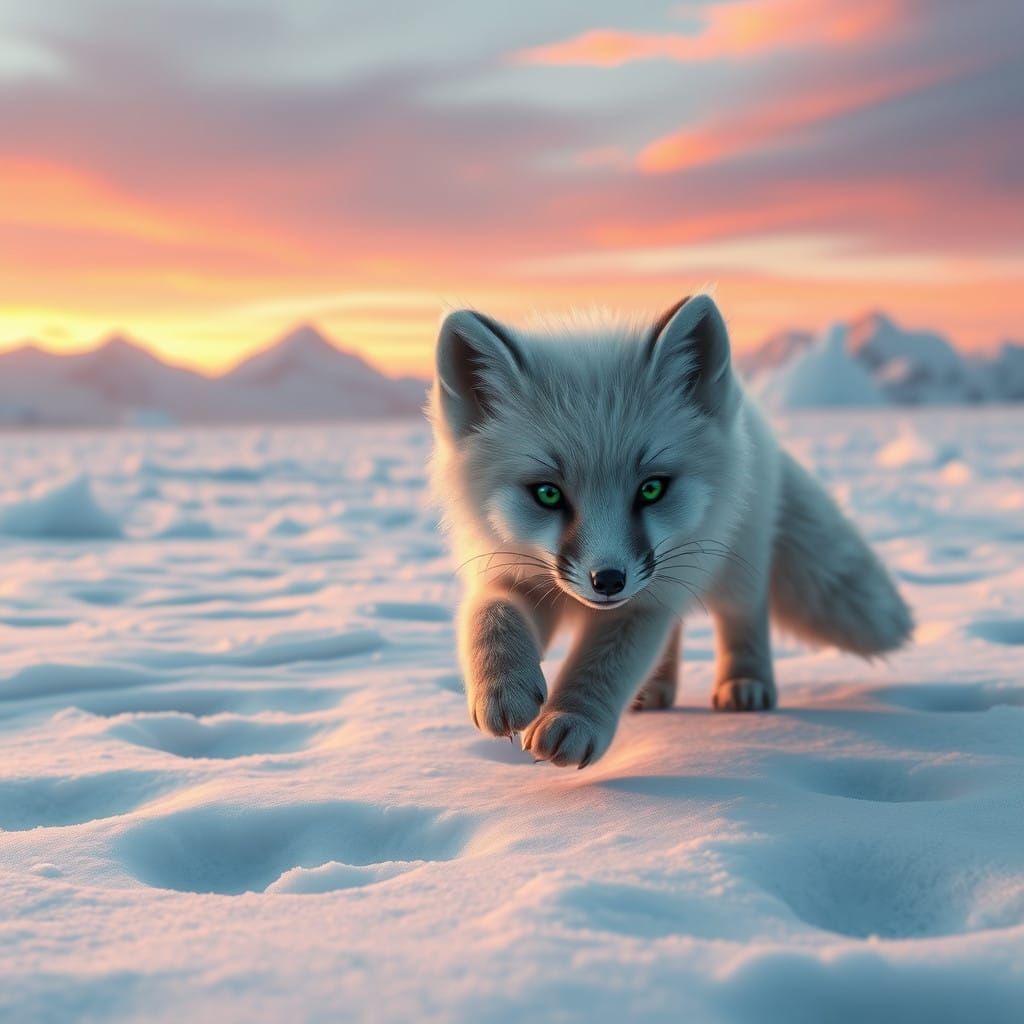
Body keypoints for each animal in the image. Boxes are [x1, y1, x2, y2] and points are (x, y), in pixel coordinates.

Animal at [429, 294, 913, 768]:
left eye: (652, 488)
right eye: (548, 494)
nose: (608, 581)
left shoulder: (646, 600)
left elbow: (603, 664)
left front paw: (572, 719)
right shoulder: (510, 568)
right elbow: (491, 615)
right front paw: (500, 690)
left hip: (732, 567)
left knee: (743, 616)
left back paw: (746, 683)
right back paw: (654, 690)